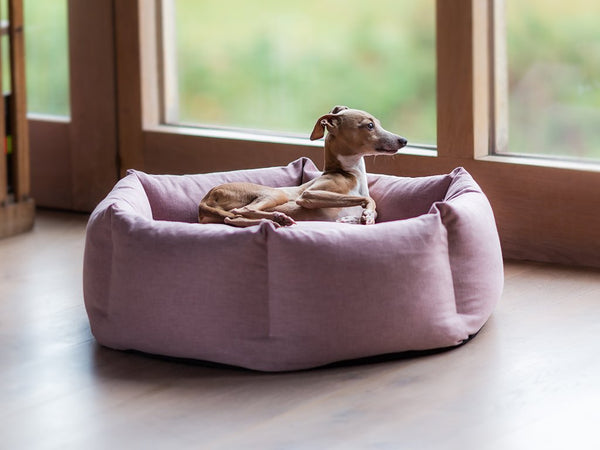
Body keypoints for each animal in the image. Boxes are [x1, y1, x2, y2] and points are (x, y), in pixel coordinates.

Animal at [197, 106, 408, 229]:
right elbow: (367, 200)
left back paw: (274, 219)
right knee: (242, 211)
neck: (348, 173)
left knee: (233, 218)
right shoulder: (310, 195)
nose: (403, 140)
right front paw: (365, 215)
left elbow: (371, 208)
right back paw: (277, 217)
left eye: (378, 123)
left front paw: (357, 218)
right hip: (275, 193)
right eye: (370, 126)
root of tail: (206, 198)